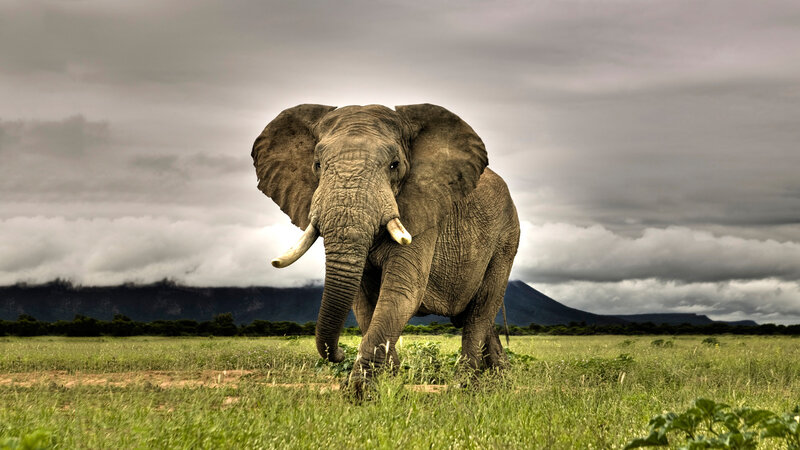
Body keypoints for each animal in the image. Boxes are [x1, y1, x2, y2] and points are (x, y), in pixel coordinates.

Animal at [252, 103, 520, 383]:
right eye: (317, 164)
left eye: (394, 165)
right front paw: (391, 379)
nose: (339, 354)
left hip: (506, 239)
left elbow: (401, 291)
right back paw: (500, 379)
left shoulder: (424, 211)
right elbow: (363, 301)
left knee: (481, 310)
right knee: (476, 317)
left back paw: (465, 384)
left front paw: (361, 390)